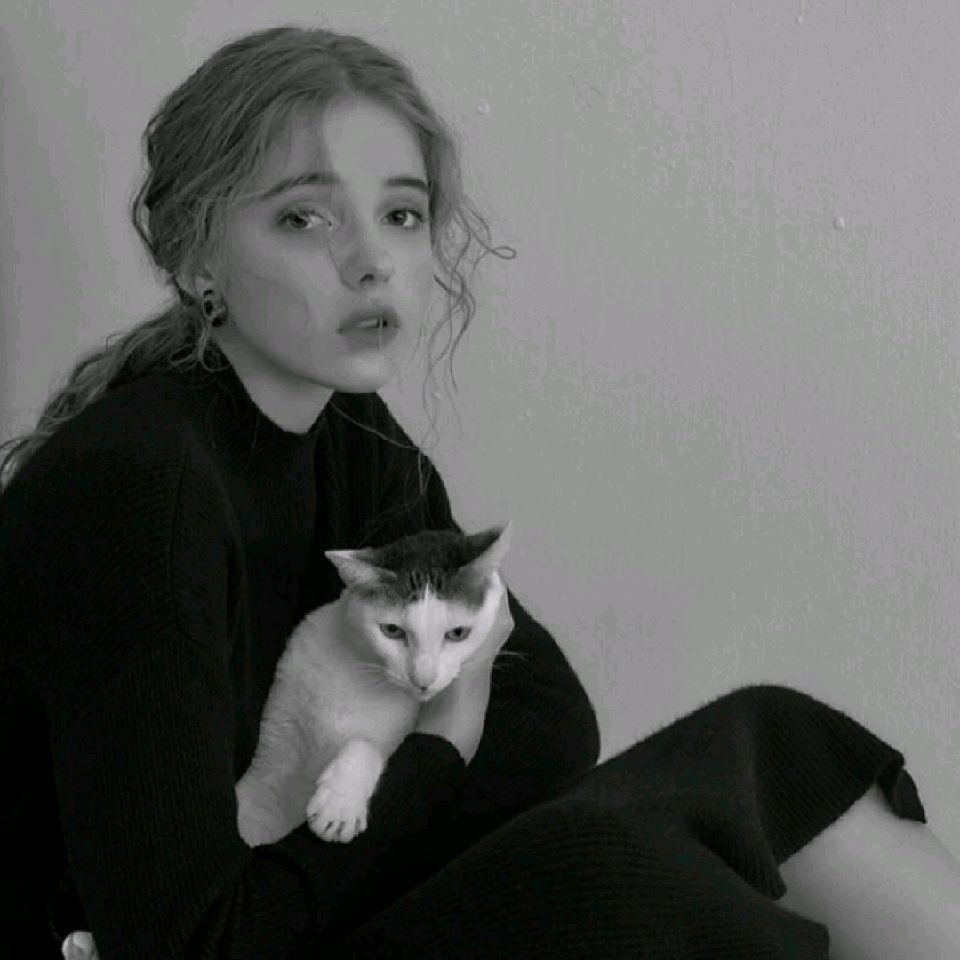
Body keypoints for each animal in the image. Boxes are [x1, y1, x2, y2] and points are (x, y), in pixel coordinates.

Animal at [234, 522, 512, 846]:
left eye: (458, 633)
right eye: (392, 630)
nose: (423, 680)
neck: (363, 675)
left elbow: (366, 745)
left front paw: (340, 803)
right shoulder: (276, 751)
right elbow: (256, 801)